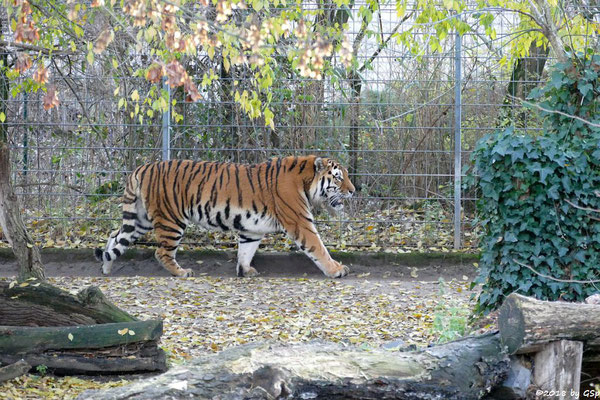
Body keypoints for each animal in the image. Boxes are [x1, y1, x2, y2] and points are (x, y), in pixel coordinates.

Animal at [95, 155, 354, 278]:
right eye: (338, 177)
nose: (353, 190)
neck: (306, 182)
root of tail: (142, 168)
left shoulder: (251, 229)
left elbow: (246, 250)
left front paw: (245, 270)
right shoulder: (300, 221)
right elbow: (319, 247)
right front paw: (336, 269)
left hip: (140, 220)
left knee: (114, 237)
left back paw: (106, 268)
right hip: (171, 220)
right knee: (161, 252)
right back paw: (181, 272)